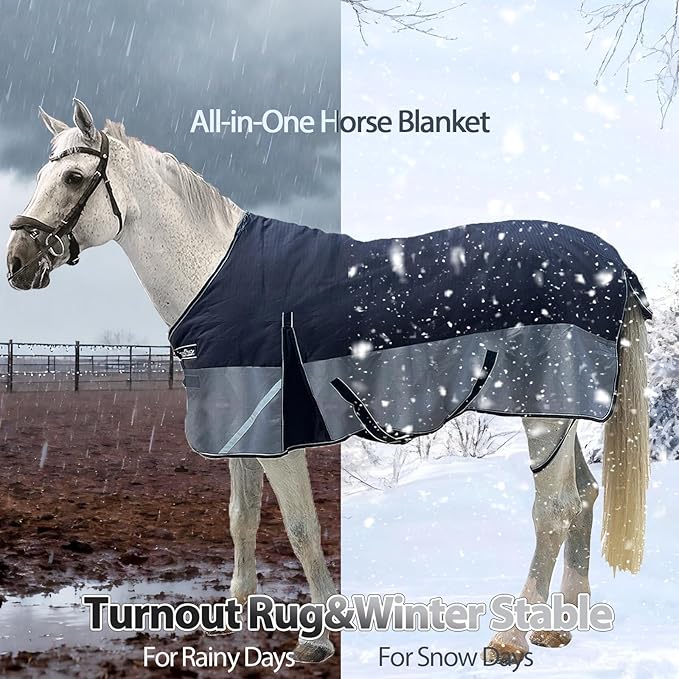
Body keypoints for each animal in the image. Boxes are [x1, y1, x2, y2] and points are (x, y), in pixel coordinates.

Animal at [6, 100, 650, 663]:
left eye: (72, 177)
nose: (16, 262)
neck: (216, 273)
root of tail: (611, 263)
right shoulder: (240, 429)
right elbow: (242, 518)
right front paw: (239, 612)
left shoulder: (279, 433)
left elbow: (301, 527)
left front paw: (316, 638)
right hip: (563, 414)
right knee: (584, 496)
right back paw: (563, 624)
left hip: (544, 412)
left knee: (554, 509)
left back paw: (513, 637)